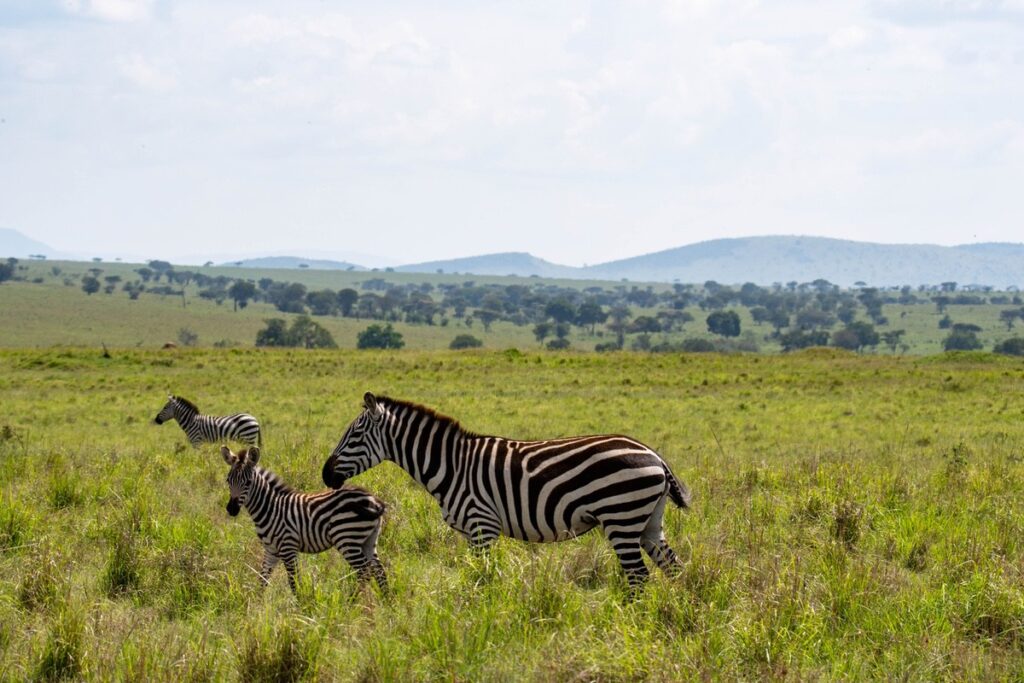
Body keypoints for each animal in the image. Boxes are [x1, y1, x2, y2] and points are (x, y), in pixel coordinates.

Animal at [222, 445, 388, 593]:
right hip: (369, 540)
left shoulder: (288, 547)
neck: (270, 508)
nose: (231, 509)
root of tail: (372, 499)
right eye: (228, 480)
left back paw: (352, 601)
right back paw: (386, 601)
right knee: (379, 571)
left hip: (347, 538)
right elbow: (262, 580)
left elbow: (293, 582)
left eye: (248, 482)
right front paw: (254, 605)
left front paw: (302, 605)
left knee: (364, 571)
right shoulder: (271, 550)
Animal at [322, 392, 691, 590]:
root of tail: (654, 455)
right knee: (673, 568)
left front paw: (484, 614)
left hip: (621, 517)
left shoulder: (482, 525)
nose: (325, 476)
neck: (452, 465)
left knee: (639, 577)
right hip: (647, 523)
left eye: (354, 436)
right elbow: (475, 573)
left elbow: (484, 576)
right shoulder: (471, 533)